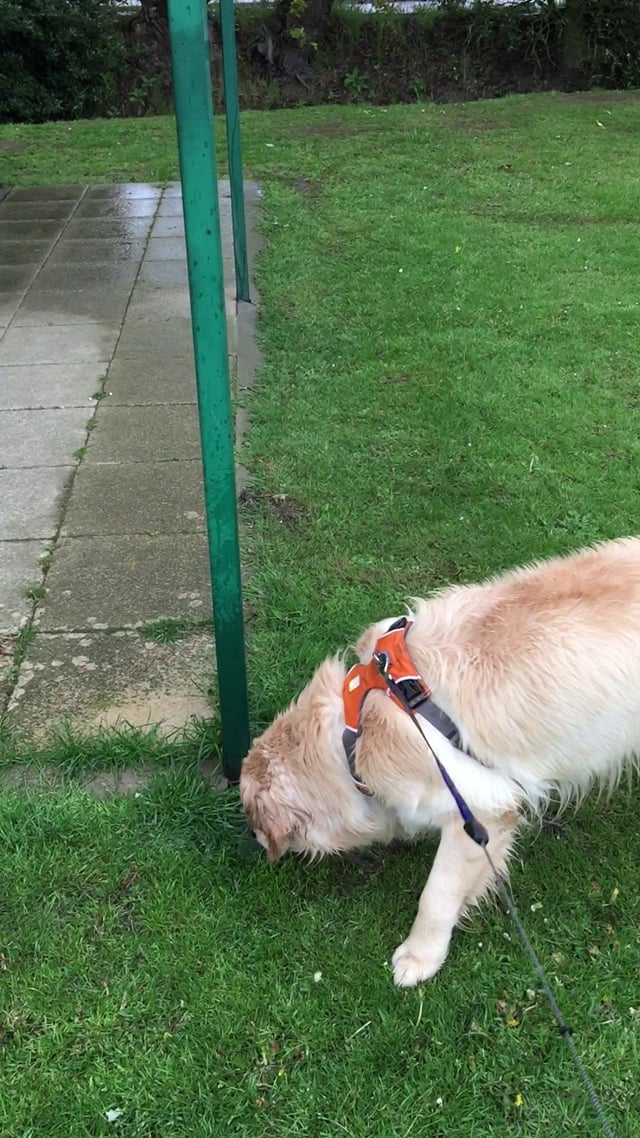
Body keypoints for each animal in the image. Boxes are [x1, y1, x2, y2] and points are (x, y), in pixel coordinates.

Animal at [238, 537, 637, 983]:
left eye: (252, 816)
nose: (254, 843)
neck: (355, 730)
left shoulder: (477, 809)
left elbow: (436, 896)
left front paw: (419, 957)